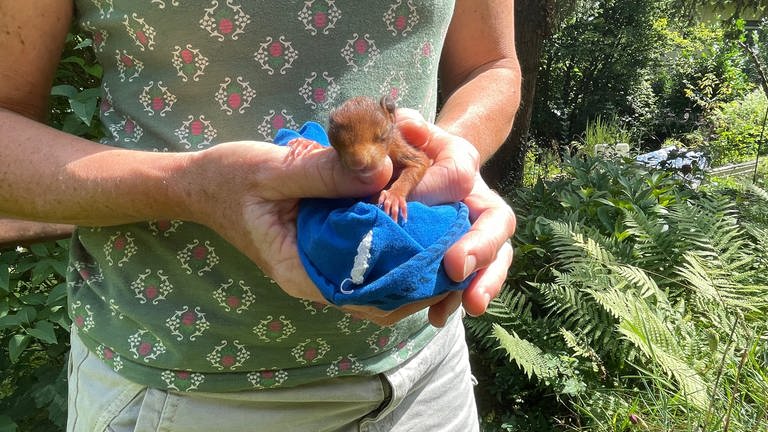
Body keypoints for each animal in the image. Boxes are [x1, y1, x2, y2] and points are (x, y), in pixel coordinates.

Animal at [290, 95, 432, 223]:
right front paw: (310, 144)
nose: (358, 163)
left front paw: (394, 196)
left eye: (383, 135)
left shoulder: (398, 146)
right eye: (335, 142)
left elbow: (419, 162)